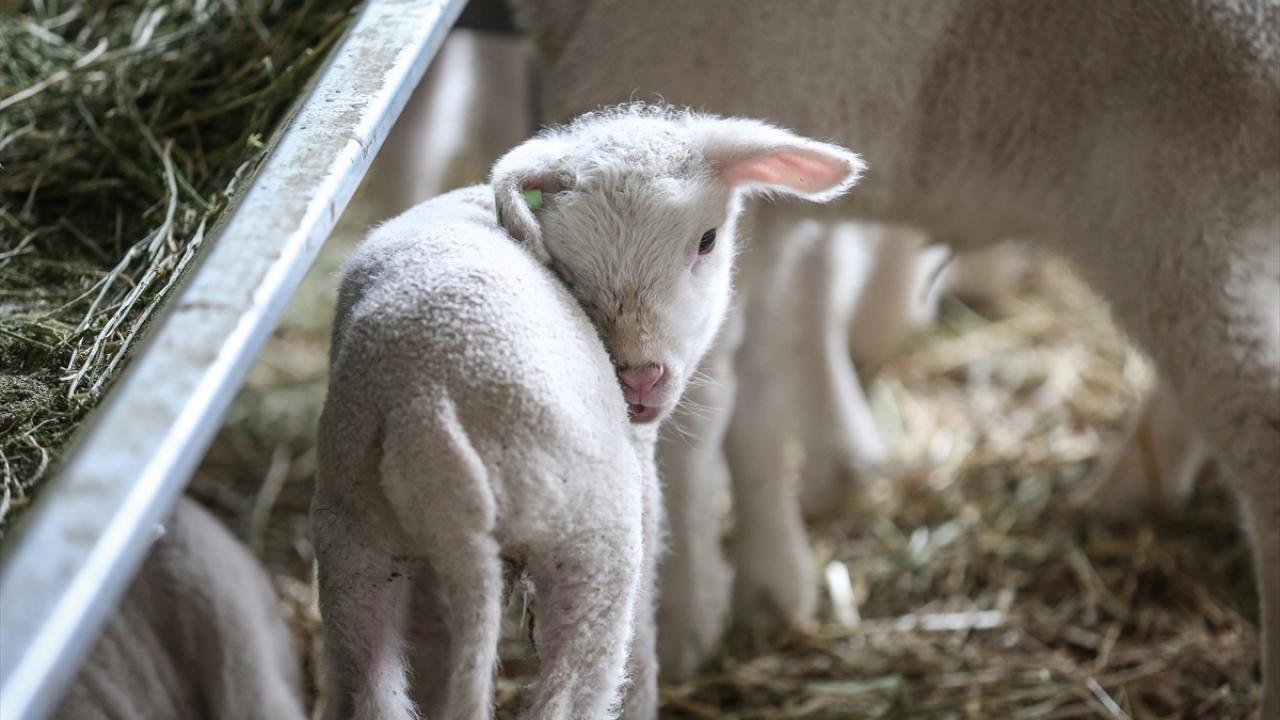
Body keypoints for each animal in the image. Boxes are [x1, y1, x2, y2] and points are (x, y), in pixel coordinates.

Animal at [313, 102, 865, 717]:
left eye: (707, 240)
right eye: (567, 265)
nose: (640, 378)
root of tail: (425, 412)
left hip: (355, 543)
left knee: (372, 682)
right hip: (594, 543)